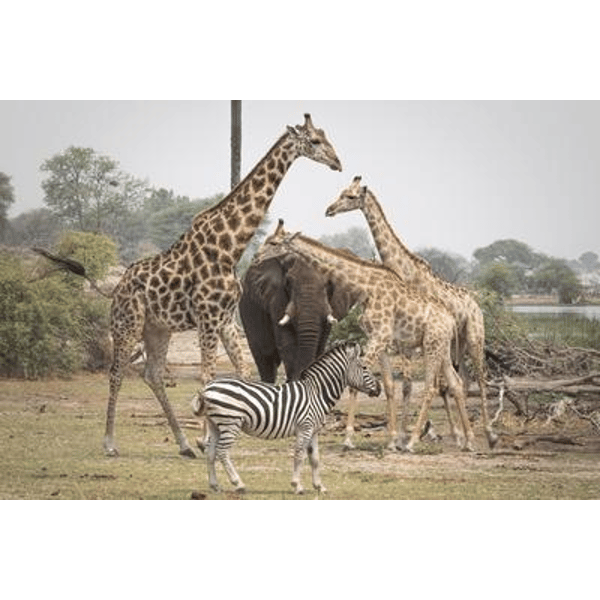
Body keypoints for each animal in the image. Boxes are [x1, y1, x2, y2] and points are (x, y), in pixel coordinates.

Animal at [103, 114, 342, 458]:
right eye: (314, 141)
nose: (337, 162)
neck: (230, 247)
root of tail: (117, 288)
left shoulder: (226, 318)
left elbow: (242, 371)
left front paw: (223, 434)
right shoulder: (207, 315)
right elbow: (207, 374)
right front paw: (207, 439)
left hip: (158, 328)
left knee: (153, 374)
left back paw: (183, 444)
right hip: (127, 323)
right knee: (117, 371)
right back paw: (110, 443)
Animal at [191, 341, 381, 494]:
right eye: (365, 367)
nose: (379, 389)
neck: (317, 393)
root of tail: (208, 387)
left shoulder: (314, 430)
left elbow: (315, 459)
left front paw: (319, 487)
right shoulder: (305, 427)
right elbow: (299, 455)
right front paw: (297, 486)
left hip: (215, 424)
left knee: (210, 452)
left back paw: (215, 486)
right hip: (230, 422)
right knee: (222, 452)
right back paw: (239, 484)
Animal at [258, 220, 476, 453]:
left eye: (273, 242)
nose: (256, 256)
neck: (366, 285)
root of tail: (451, 320)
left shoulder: (381, 336)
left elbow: (355, 383)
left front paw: (348, 439)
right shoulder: (378, 338)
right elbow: (388, 384)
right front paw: (391, 441)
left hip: (432, 345)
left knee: (431, 387)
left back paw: (413, 442)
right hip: (441, 347)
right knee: (455, 383)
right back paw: (468, 441)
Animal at [325, 176, 498, 449]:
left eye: (350, 197)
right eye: (341, 192)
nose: (329, 209)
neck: (404, 270)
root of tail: (475, 303)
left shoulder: (411, 339)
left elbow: (423, 384)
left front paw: (415, 433)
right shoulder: (402, 340)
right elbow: (405, 385)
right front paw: (403, 434)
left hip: (474, 337)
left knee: (479, 378)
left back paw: (489, 435)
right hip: (456, 343)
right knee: (461, 380)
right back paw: (462, 434)